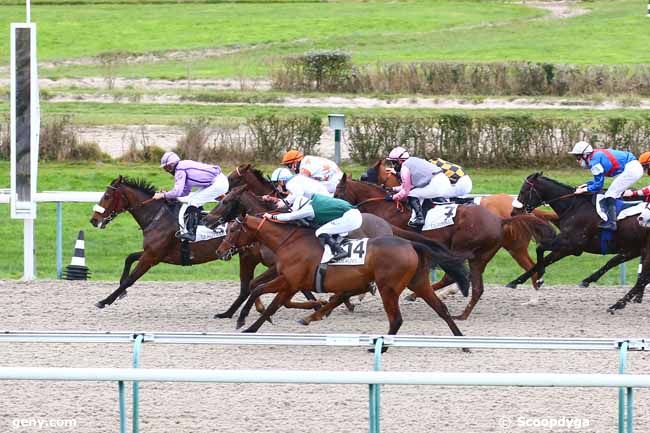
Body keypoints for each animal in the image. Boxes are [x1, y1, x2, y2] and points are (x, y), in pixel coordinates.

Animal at [215, 213, 464, 338]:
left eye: (233, 230)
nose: (220, 250)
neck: (289, 241)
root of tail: (410, 244)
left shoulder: (290, 281)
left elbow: (269, 300)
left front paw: (246, 324)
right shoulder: (288, 281)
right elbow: (265, 294)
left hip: (389, 287)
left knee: (395, 317)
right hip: (417, 282)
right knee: (441, 308)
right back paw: (461, 341)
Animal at [334, 174, 552, 318]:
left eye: (337, 191)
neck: (384, 207)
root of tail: (501, 219)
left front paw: (357, 296)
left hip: (467, 248)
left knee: (456, 275)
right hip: (484, 254)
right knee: (475, 283)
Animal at [506, 172, 648, 310]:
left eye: (524, 190)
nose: (514, 212)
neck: (573, 206)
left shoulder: (570, 244)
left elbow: (540, 249)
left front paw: (539, 277)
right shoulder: (568, 247)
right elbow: (545, 259)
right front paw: (516, 282)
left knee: (640, 276)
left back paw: (618, 303)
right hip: (633, 249)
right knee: (621, 265)